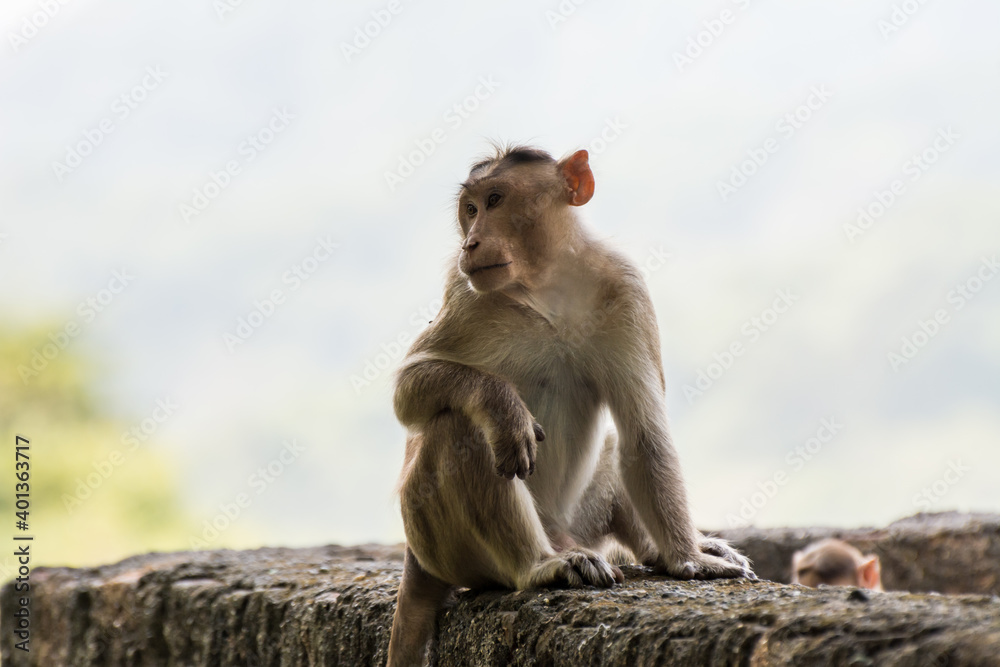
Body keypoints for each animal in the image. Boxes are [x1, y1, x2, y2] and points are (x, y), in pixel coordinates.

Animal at [386, 145, 755, 666]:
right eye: (470, 210)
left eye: (494, 200)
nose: (470, 244)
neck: (547, 286)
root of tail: (415, 559)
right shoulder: (464, 293)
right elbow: (409, 389)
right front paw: (503, 407)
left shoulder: (627, 289)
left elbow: (643, 432)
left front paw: (686, 556)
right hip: (439, 542)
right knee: (458, 429)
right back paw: (538, 565)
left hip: (577, 520)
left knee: (615, 445)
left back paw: (653, 550)